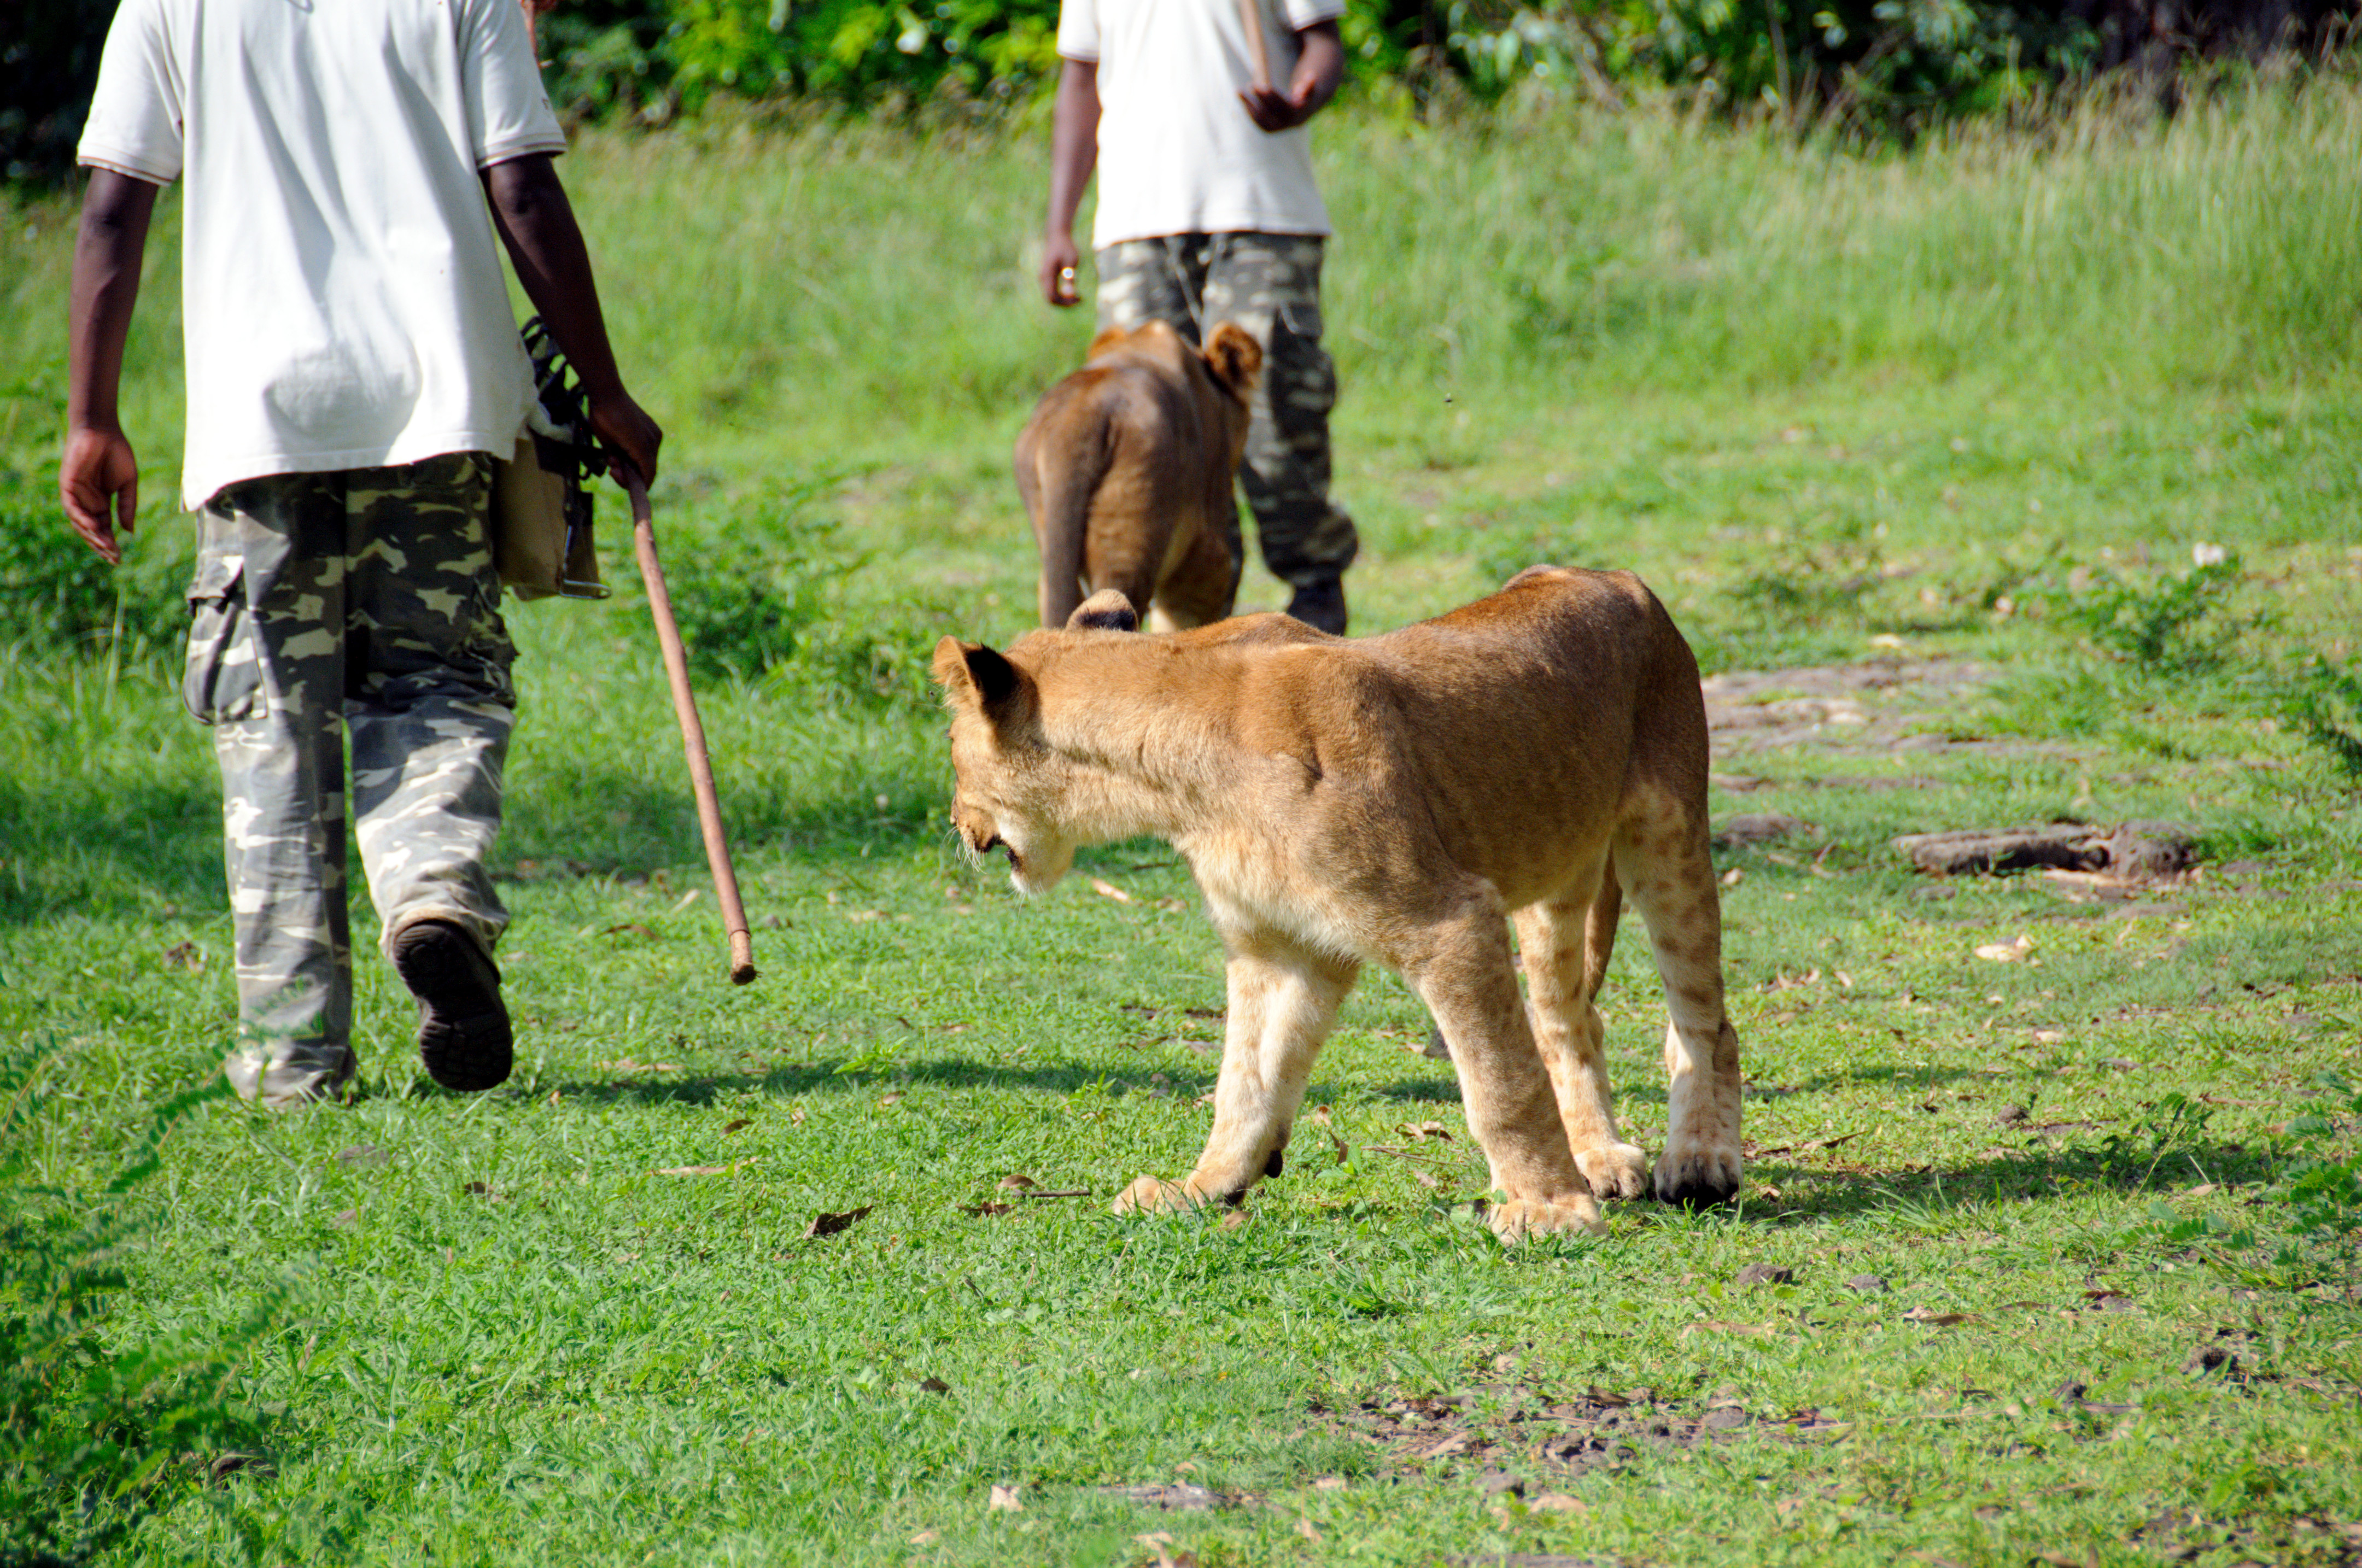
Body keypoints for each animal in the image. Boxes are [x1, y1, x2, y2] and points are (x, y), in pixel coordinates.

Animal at [929, 567, 1744, 1242]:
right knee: (1569, 1021)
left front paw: (1549, 1210)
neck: (1172, 787)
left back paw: (1699, 1162)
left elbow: (1500, 1083)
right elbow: (1247, 1082)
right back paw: (1599, 1157)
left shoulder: (1447, 920)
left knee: (1705, 1022)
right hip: (1554, 876)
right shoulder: (1281, 946)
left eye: (954, 758)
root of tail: (1614, 575)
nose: (956, 823)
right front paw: (1205, 1187)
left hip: (1667, 836)